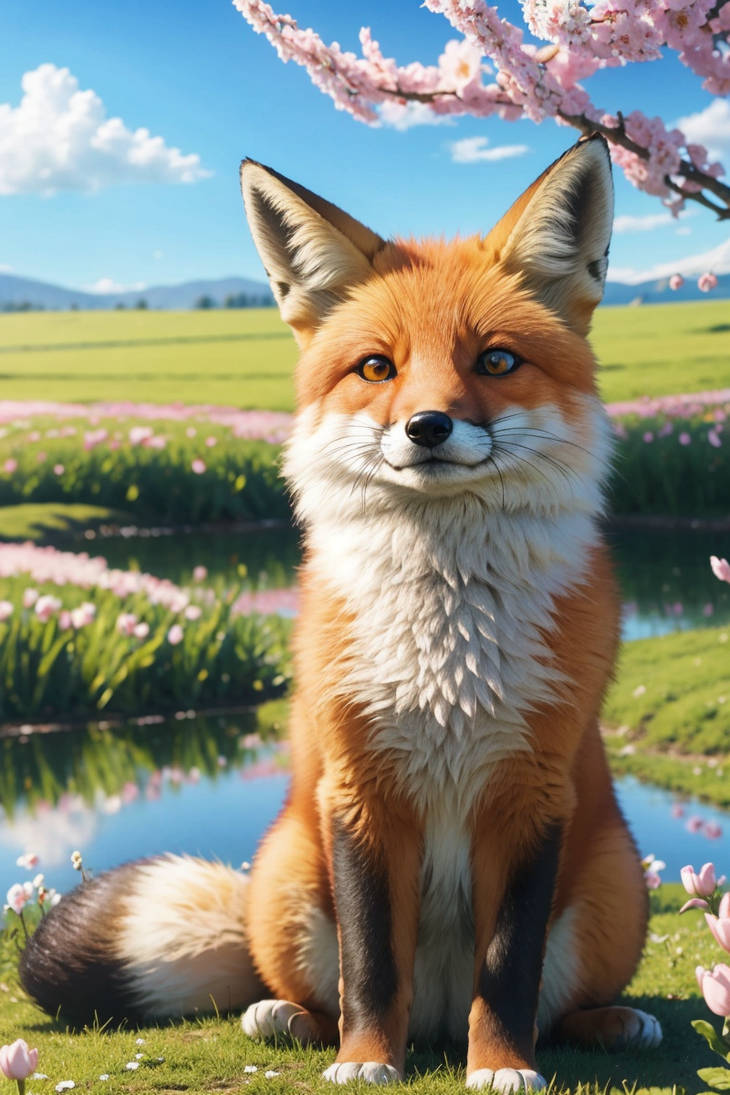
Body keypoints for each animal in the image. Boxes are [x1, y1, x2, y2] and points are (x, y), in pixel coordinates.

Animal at [19, 135, 660, 1091]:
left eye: (495, 361)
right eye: (378, 368)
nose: (427, 427)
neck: (445, 642)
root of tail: (437, 1022)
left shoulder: (533, 787)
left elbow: (510, 969)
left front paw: (502, 1067)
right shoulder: (358, 788)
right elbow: (372, 963)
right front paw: (364, 1061)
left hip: (615, 882)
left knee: (554, 1003)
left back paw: (613, 1021)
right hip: (287, 871)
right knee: (325, 987)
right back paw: (289, 1017)